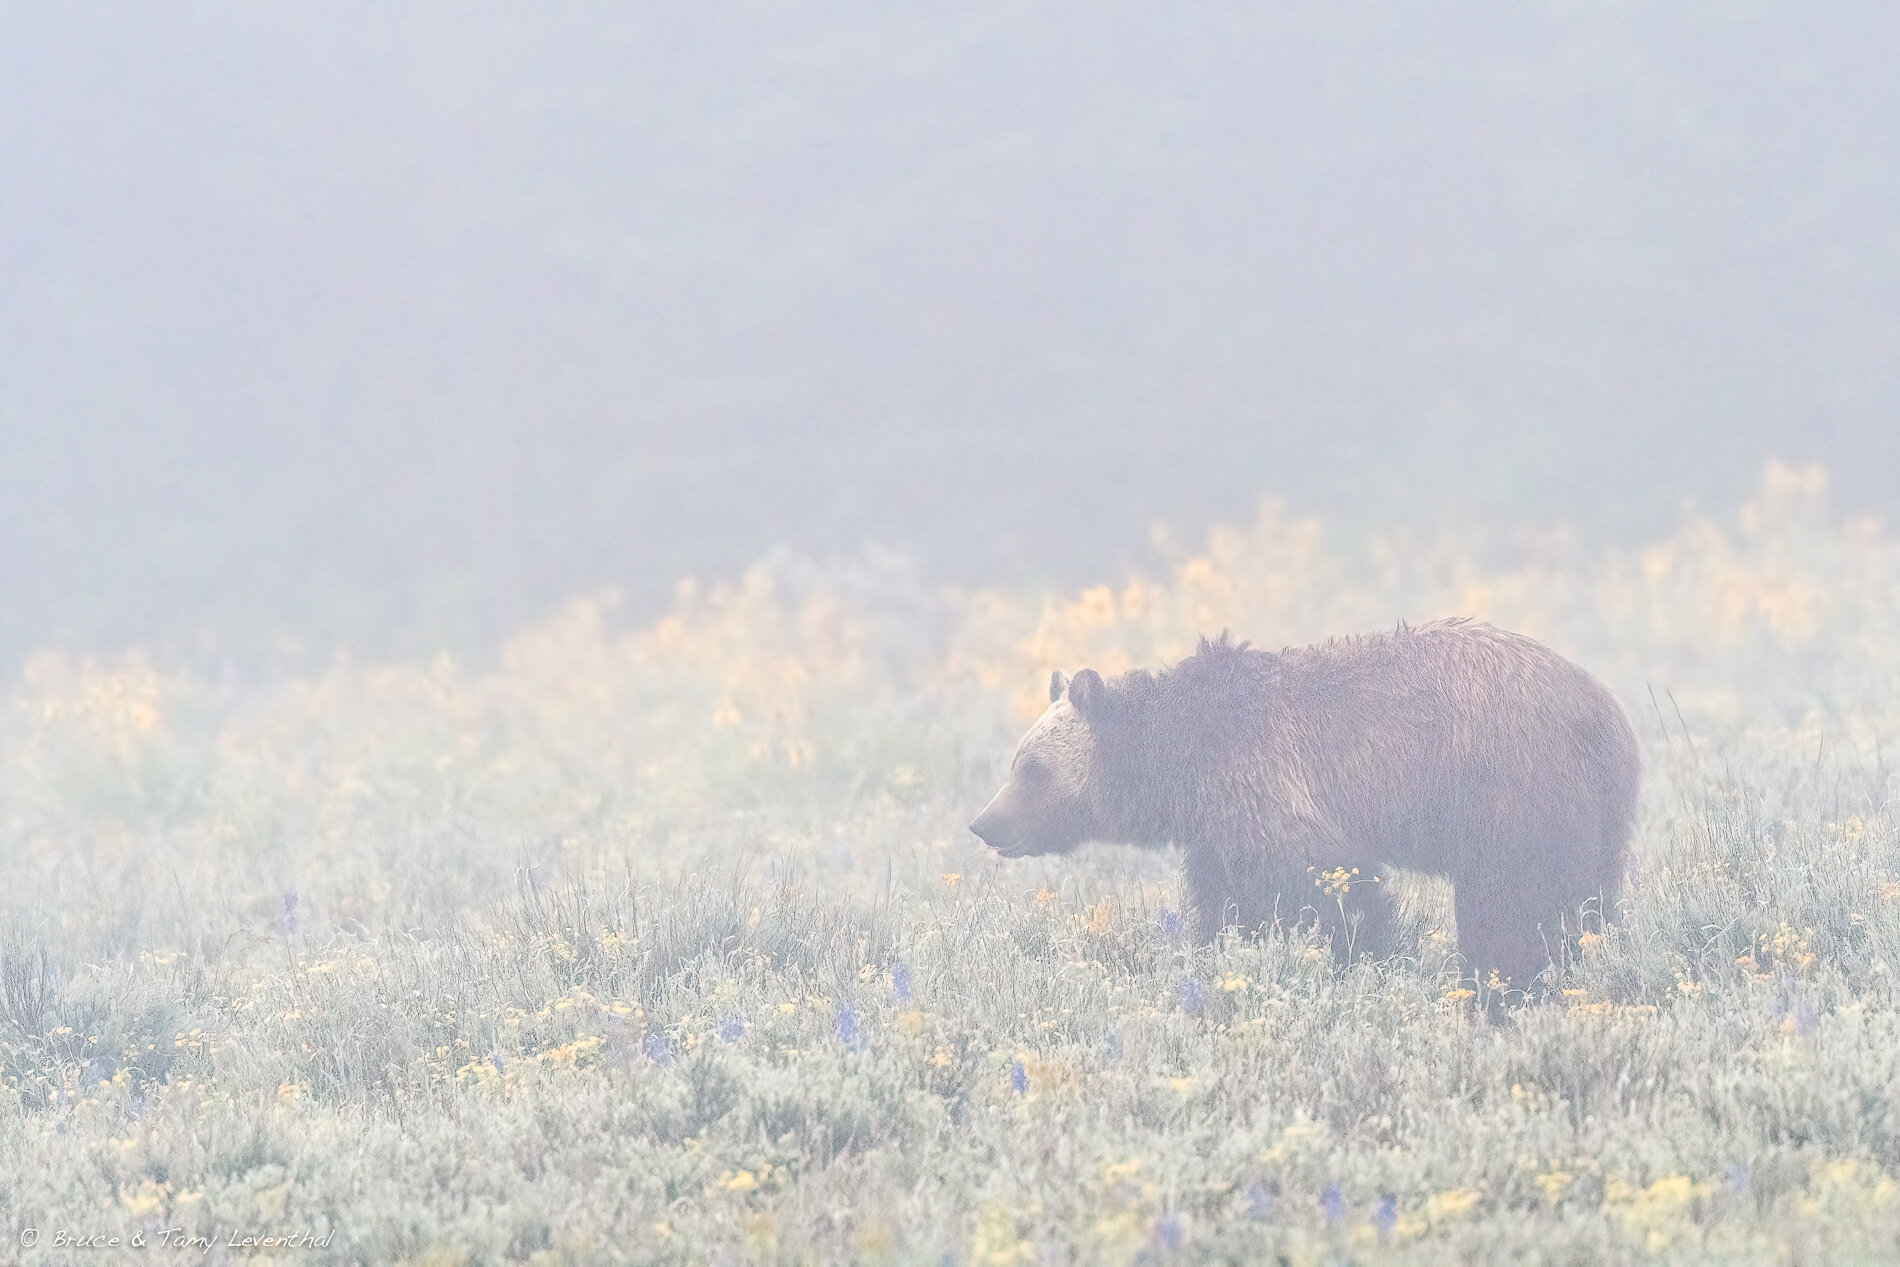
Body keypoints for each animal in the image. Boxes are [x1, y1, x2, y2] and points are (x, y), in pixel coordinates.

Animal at [969, 619, 1640, 996]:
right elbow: (1226, 900)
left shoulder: (1267, 781)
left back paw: (1504, 980)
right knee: (1583, 893)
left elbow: (1321, 884)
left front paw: (1358, 953)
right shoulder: (1218, 828)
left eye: (1031, 769)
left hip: (1512, 788)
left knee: (1515, 900)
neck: (1184, 761)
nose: (983, 823)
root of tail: (1605, 707)